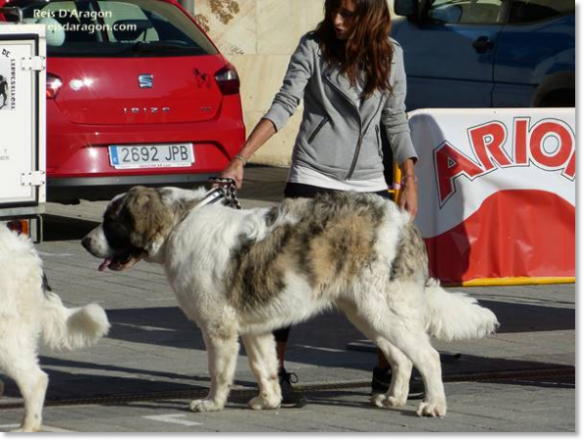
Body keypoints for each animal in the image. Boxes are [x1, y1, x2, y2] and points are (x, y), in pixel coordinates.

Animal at [82, 187, 498, 420]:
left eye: (112, 222)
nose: (86, 241)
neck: (180, 223)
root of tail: (403, 219)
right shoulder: (254, 328)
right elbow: (264, 365)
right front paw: (269, 401)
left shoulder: (218, 328)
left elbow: (219, 371)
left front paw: (212, 404)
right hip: (367, 312)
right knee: (401, 357)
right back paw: (393, 398)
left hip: (381, 308)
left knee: (428, 356)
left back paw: (434, 406)